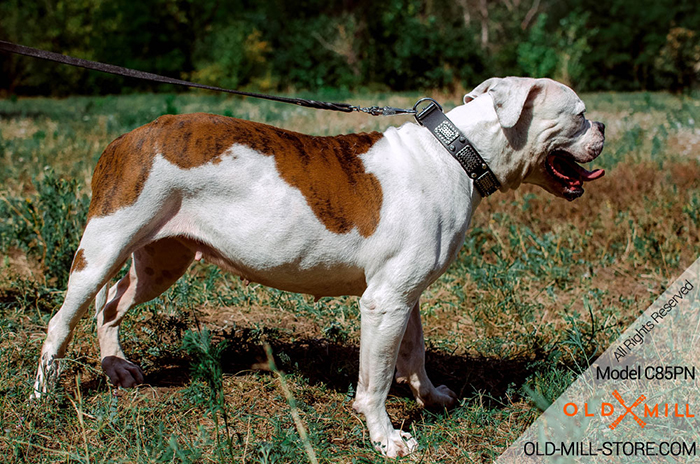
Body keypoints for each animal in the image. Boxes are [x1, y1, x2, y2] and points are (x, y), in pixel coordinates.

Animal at [31, 76, 600, 456]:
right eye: (578, 113)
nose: (602, 127)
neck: (457, 153)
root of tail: (130, 136)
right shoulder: (384, 303)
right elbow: (375, 380)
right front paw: (386, 437)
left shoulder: (406, 296)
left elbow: (413, 352)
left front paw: (430, 396)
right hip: (103, 246)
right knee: (63, 320)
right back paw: (43, 393)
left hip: (160, 262)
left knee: (110, 305)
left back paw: (116, 367)